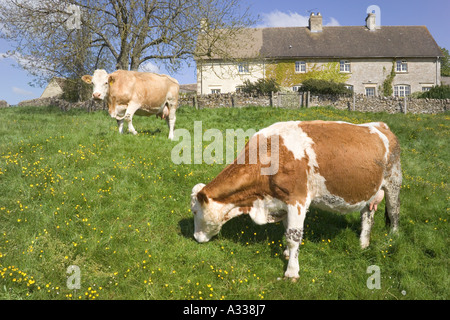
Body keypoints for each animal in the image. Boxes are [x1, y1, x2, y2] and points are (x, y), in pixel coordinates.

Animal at [190, 120, 400, 280]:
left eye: (194, 211)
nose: (195, 238)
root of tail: (379, 125)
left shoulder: (297, 201)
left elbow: (293, 237)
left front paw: (291, 271)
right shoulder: (281, 201)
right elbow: (287, 231)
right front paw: (286, 254)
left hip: (394, 182)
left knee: (394, 213)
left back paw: (393, 238)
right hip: (369, 192)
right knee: (367, 215)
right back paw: (363, 243)